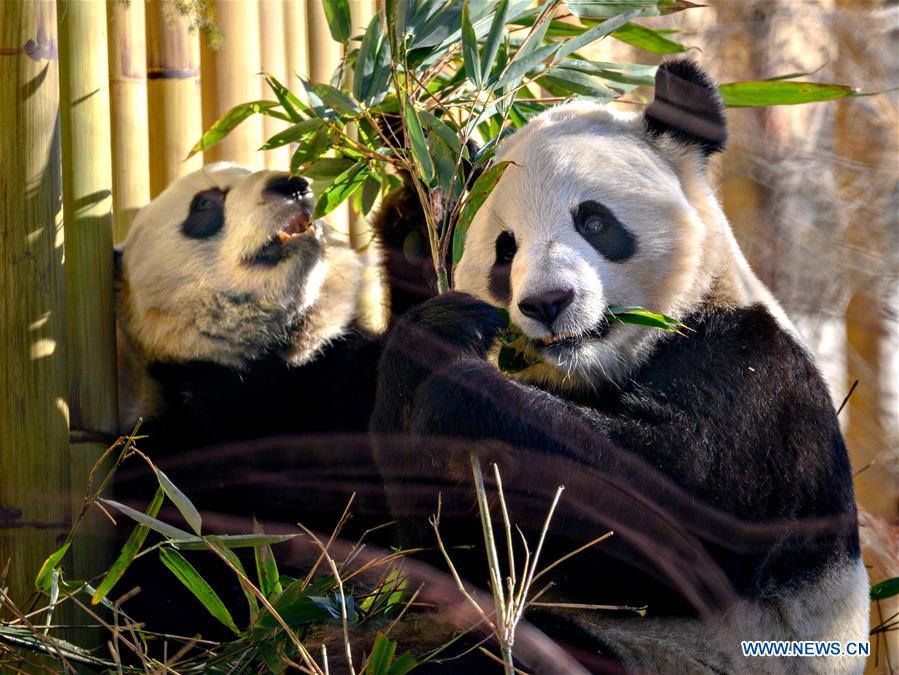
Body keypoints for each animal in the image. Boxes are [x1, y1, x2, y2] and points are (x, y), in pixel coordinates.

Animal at [370, 60, 868, 672]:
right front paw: (421, 244)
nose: (548, 302)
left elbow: (680, 524)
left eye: (593, 221)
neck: (602, 367)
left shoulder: (754, 380)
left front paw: (460, 397)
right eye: (506, 249)